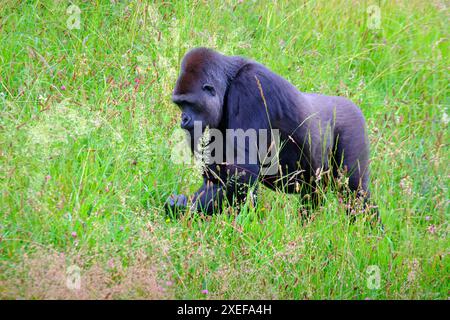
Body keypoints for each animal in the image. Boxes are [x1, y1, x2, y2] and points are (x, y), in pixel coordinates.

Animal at [165, 46, 376, 219]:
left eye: (189, 103)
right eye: (179, 104)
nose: (184, 119)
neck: (230, 80)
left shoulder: (250, 88)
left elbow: (243, 172)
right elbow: (218, 178)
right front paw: (182, 207)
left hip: (353, 125)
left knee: (356, 193)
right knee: (312, 195)